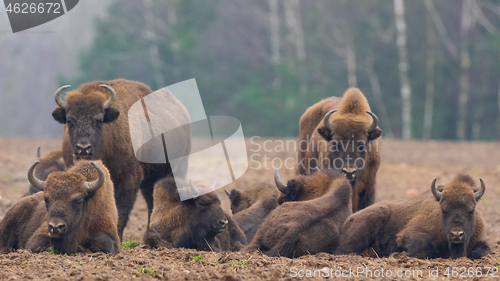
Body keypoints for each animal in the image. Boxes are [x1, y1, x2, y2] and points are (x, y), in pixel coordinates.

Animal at [51, 79, 191, 238]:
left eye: (99, 120)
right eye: (69, 120)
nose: (83, 148)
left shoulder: (128, 179)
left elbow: (121, 211)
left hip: (178, 169)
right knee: (152, 201)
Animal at [338, 174, 490, 260]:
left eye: (471, 210)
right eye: (443, 210)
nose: (456, 235)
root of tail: (348, 220)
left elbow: (484, 251)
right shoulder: (409, 233)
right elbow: (424, 247)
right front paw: (398, 255)